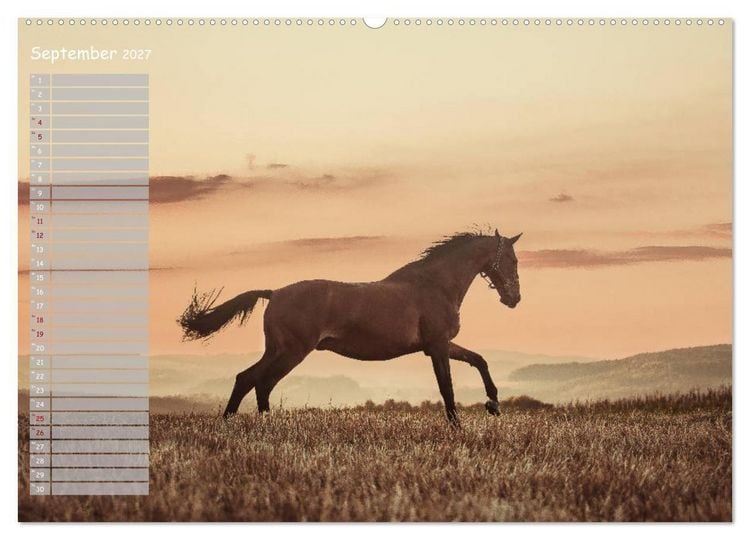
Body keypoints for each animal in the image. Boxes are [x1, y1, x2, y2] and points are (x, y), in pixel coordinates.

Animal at [178, 228, 522, 425]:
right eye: (513, 260)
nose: (514, 298)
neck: (435, 285)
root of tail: (274, 293)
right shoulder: (436, 346)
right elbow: (447, 387)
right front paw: (457, 427)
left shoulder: (440, 345)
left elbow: (480, 360)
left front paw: (493, 404)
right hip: (291, 352)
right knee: (259, 381)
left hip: (277, 350)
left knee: (250, 379)